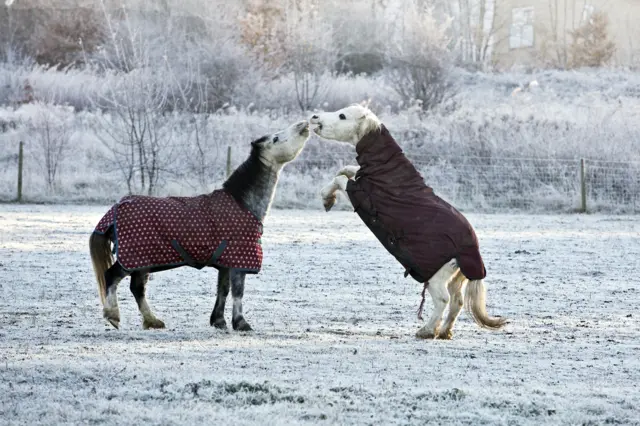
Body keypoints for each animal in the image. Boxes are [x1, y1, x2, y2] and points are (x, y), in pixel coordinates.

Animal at [89, 121, 310, 332]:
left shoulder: (225, 262)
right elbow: (238, 292)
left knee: (137, 289)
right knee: (112, 277)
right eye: (276, 138)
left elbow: (223, 290)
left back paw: (152, 321)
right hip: (133, 259)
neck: (241, 203)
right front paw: (241, 323)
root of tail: (116, 208)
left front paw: (219, 321)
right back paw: (113, 316)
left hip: (142, 262)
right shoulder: (239, 261)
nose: (304, 125)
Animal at [312, 105, 508, 340]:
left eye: (342, 116)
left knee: (443, 300)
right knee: (457, 302)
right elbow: (347, 170)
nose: (314, 117)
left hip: (436, 278)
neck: (387, 173)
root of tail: (471, 250)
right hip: (455, 279)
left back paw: (426, 331)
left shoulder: (362, 197)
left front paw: (326, 198)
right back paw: (444, 332)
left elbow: (341, 179)